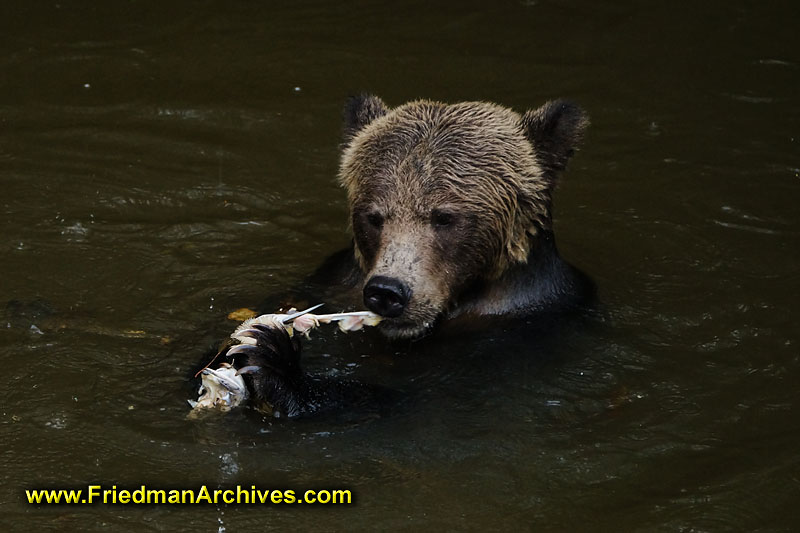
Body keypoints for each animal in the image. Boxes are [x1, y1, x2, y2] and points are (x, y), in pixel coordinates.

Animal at [216, 96, 592, 416]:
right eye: (374, 216)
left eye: (444, 217)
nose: (387, 292)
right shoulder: (331, 282)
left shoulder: (518, 330)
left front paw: (275, 362)